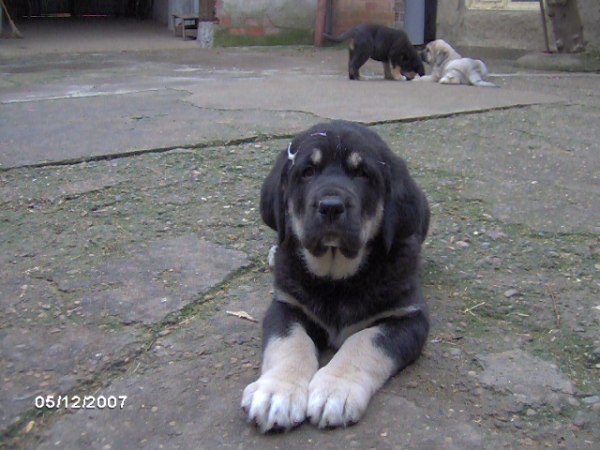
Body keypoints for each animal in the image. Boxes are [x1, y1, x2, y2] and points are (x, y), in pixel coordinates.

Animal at [241, 119, 428, 432]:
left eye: (363, 174)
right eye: (308, 172)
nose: (330, 206)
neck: (336, 280)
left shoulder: (409, 316)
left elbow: (364, 342)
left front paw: (335, 390)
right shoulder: (287, 305)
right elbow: (289, 342)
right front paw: (277, 391)